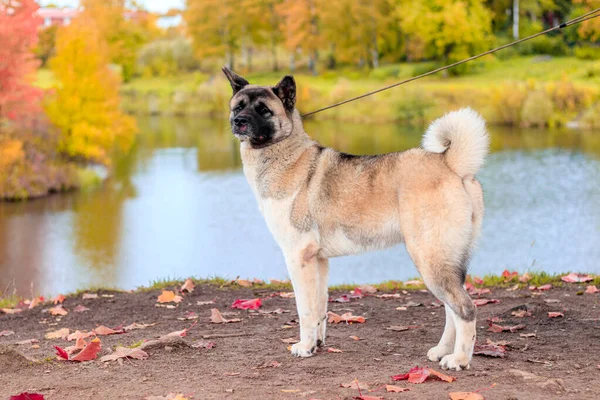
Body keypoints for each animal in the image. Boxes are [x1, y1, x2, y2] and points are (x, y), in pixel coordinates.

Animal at [223, 67, 490, 370]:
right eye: (239, 106)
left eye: (264, 110)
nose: (239, 121)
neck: (286, 154)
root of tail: (450, 163)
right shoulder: (319, 261)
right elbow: (320, 308)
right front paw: (316, 344)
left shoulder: (298, 257)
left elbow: (305, 309)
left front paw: (304, 347)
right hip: (444, 261)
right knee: (451, 309)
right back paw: (443, 351)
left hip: (430, 258)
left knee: (464, 308)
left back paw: (459, 359)